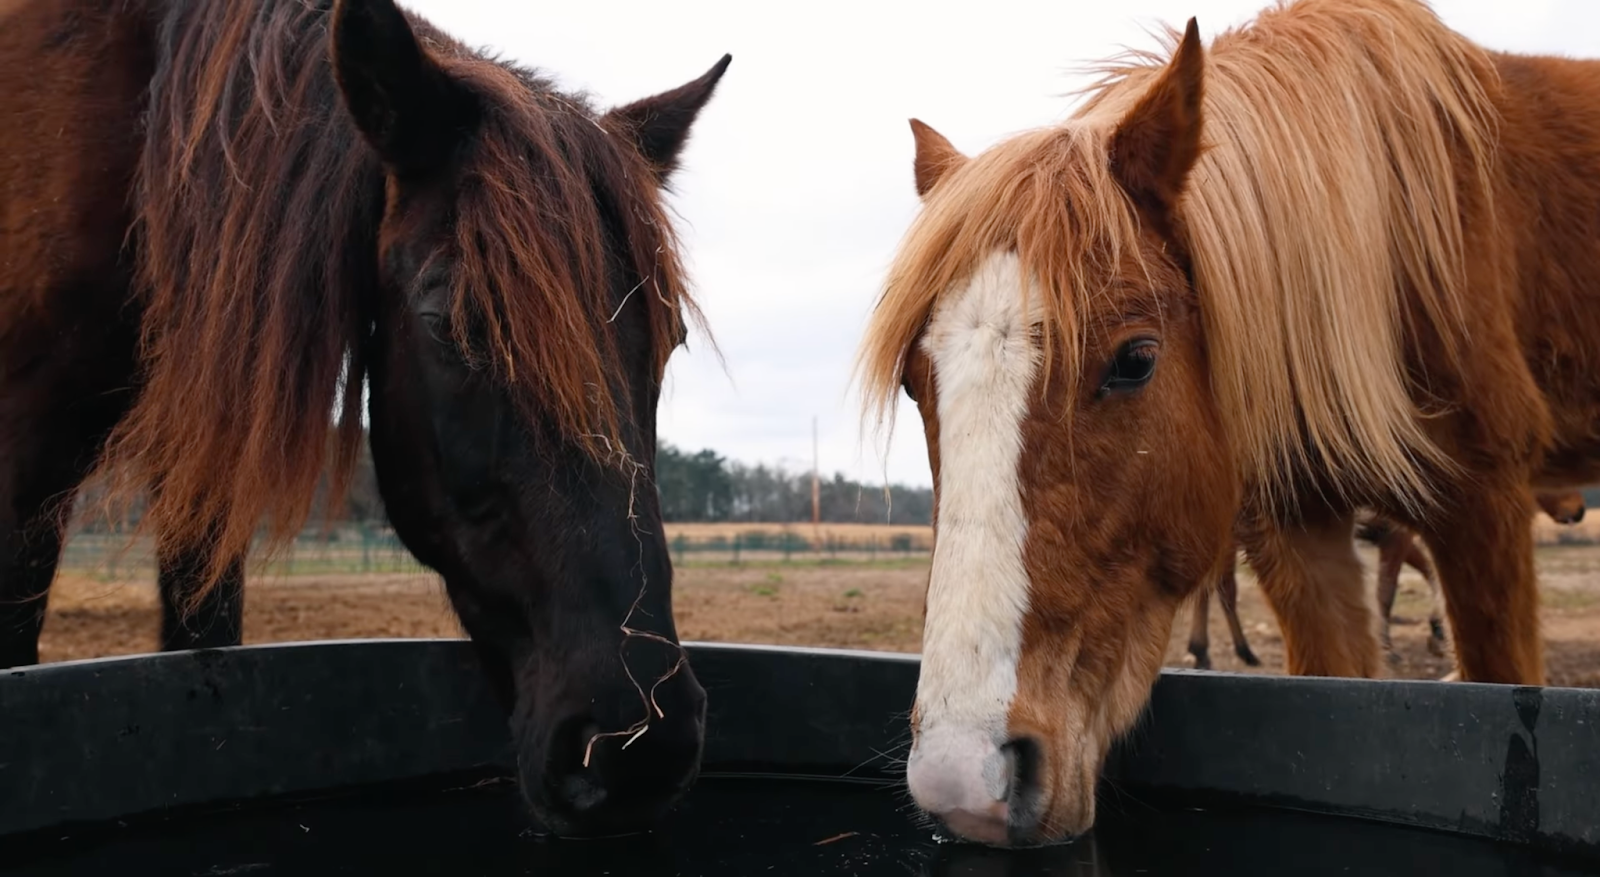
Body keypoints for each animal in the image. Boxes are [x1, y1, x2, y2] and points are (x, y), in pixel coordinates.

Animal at [856, 0, 1600, 845]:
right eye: (915, 384)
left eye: (1135, 360)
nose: (964, 780)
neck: (1390, 247)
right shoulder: (1300, 535)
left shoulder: (1486, 512)